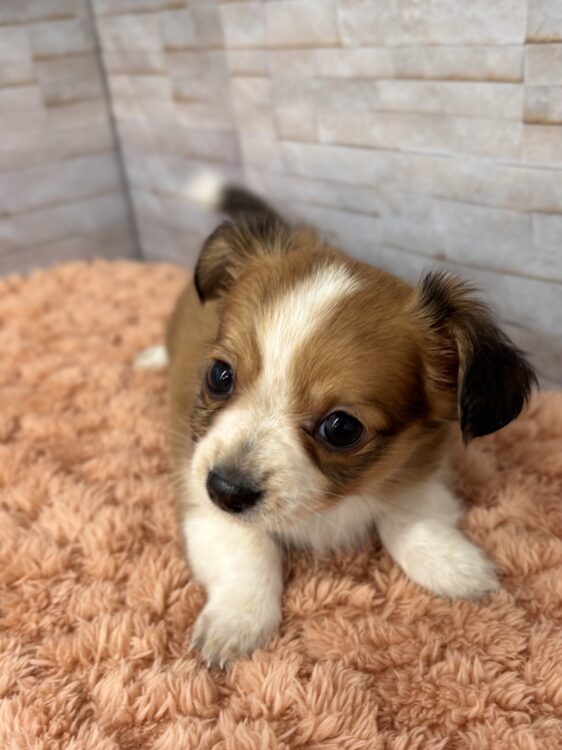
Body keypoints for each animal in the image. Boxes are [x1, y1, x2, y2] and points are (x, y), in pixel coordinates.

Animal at [137, 179, 536, 667]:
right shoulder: (200, 492)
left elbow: (408, 517)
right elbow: (247, 550)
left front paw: (453, 564)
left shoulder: (418, 469)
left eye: (341, 428)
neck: (331, 507)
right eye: (219, 375)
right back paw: (150, 359)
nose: (226, 490)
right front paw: (238, 621)